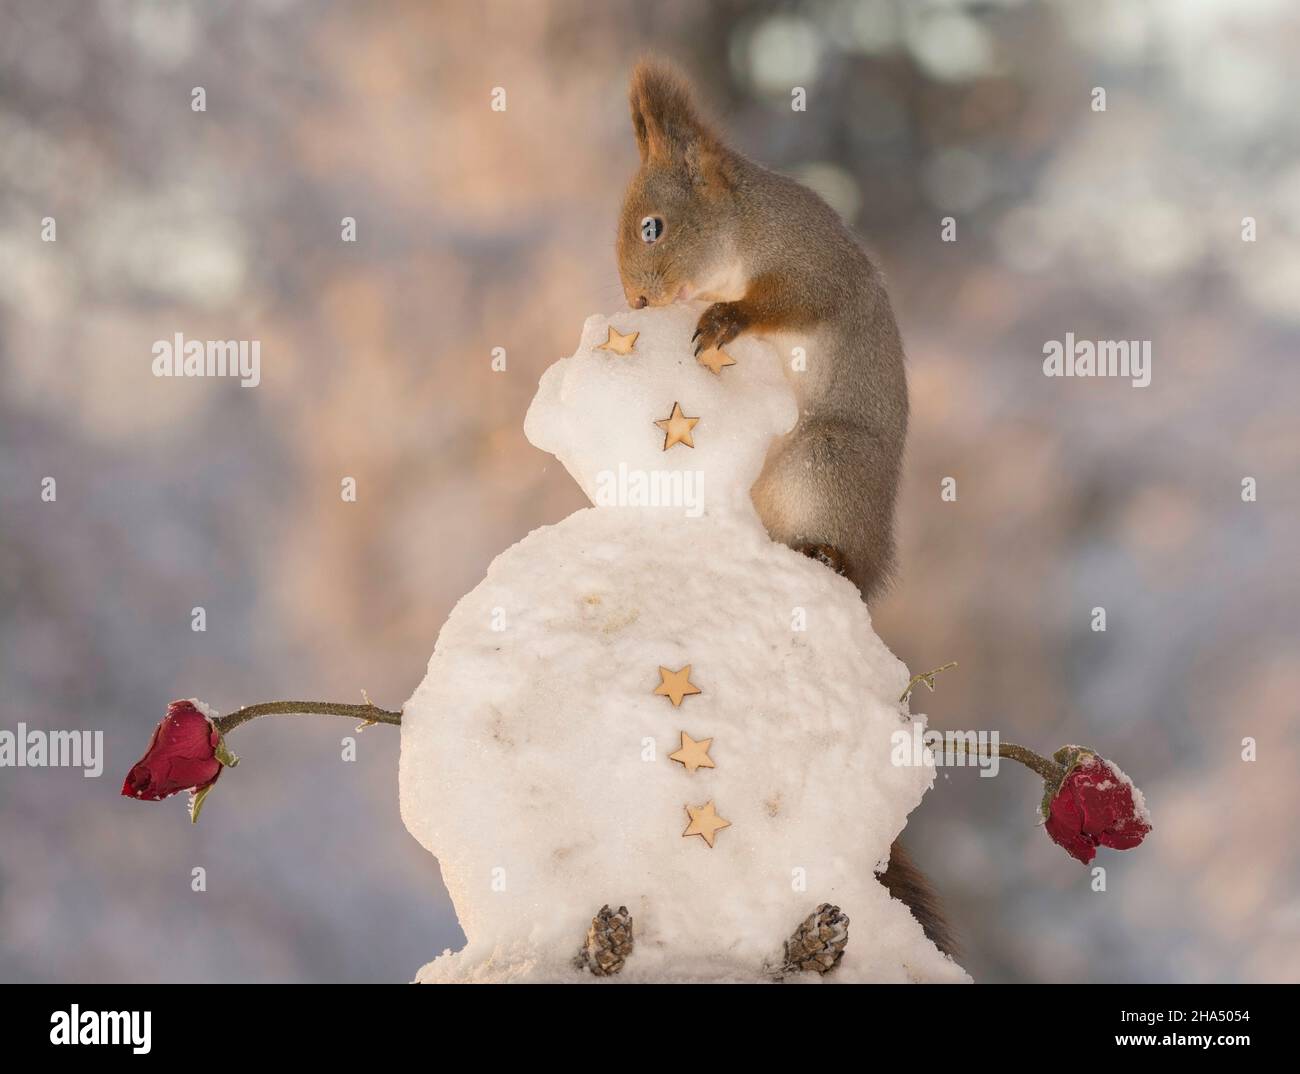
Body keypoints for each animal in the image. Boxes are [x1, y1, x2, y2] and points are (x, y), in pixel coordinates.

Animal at [615, 59, 954, 958]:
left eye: (654, 226)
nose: (634, 303)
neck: (743, 231)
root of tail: (869, 568)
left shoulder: (809, 266)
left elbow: (790, 303)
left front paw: (724, 320)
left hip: (824, 458)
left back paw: (821, 557)